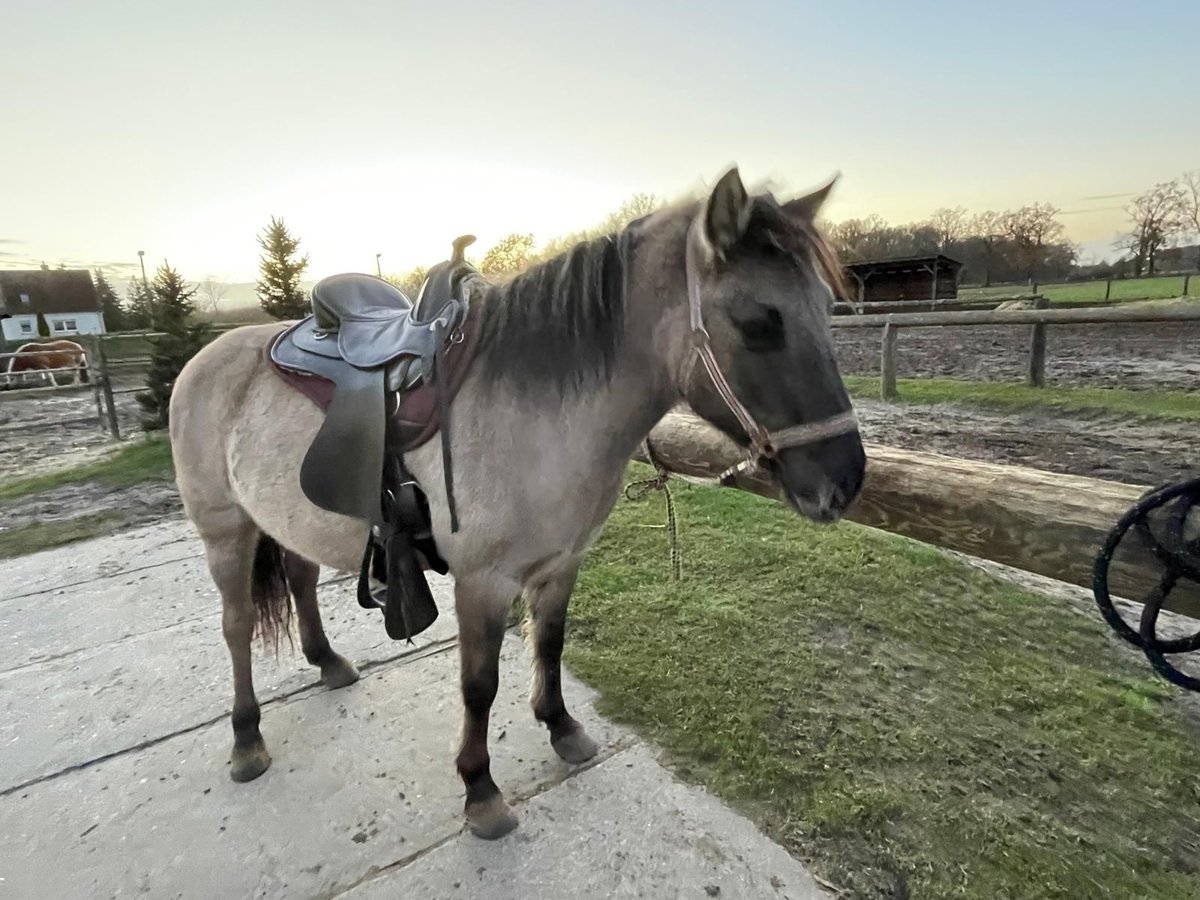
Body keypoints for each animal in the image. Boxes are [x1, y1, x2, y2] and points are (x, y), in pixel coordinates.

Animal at [166, 165, 864, 844]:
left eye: (830, 309)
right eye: (758, 323)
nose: (846, 482)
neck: (535, 410)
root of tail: (204, 358)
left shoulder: (561, 564)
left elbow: (549, 644)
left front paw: (561, 727)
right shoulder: (483, 580)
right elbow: (480, 685)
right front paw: (480, 790)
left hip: (284, 518)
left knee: (302, 578)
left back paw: (328, 663)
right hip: (225, 532)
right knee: (236, 627)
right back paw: (246, 738)